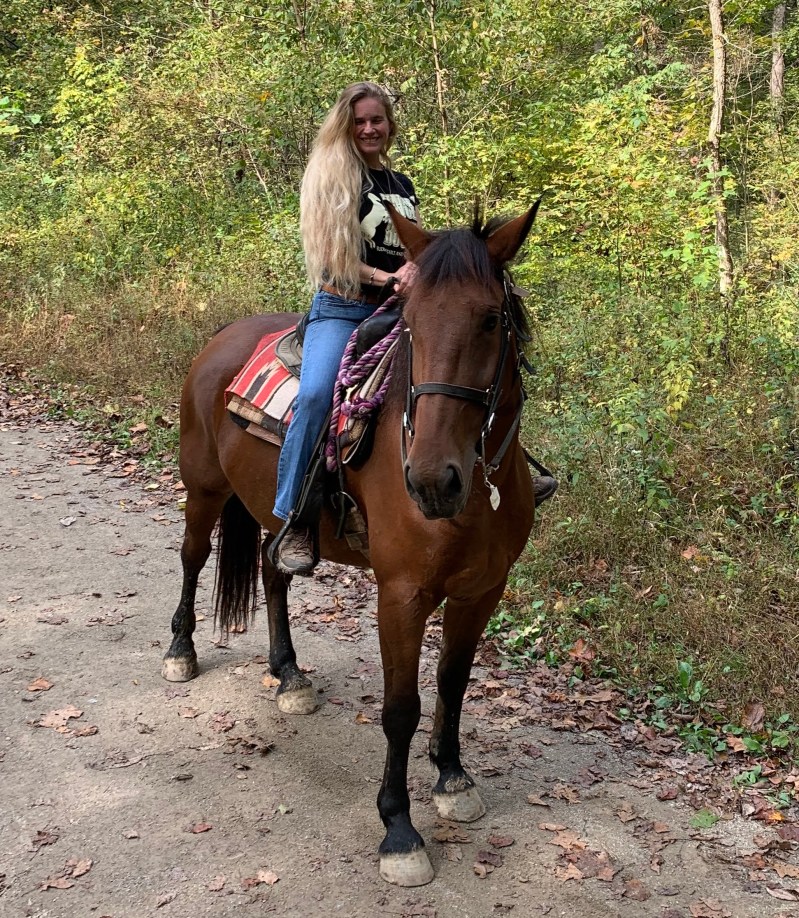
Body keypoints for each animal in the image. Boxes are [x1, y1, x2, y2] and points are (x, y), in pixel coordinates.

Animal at [162, 202, 540, 887]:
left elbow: (453, 680)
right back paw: (181, 650)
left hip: (276, 511)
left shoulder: (482, 589)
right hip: (202, 490)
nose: (432, 480)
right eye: (412, 324)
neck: (477, 494)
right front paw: (399, 829)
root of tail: (222, 337)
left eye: (491, 319)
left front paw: (452, 777)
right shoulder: (401, 594)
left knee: (274, 571)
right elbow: (400, 707)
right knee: (192, 558)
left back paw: (289, 675)